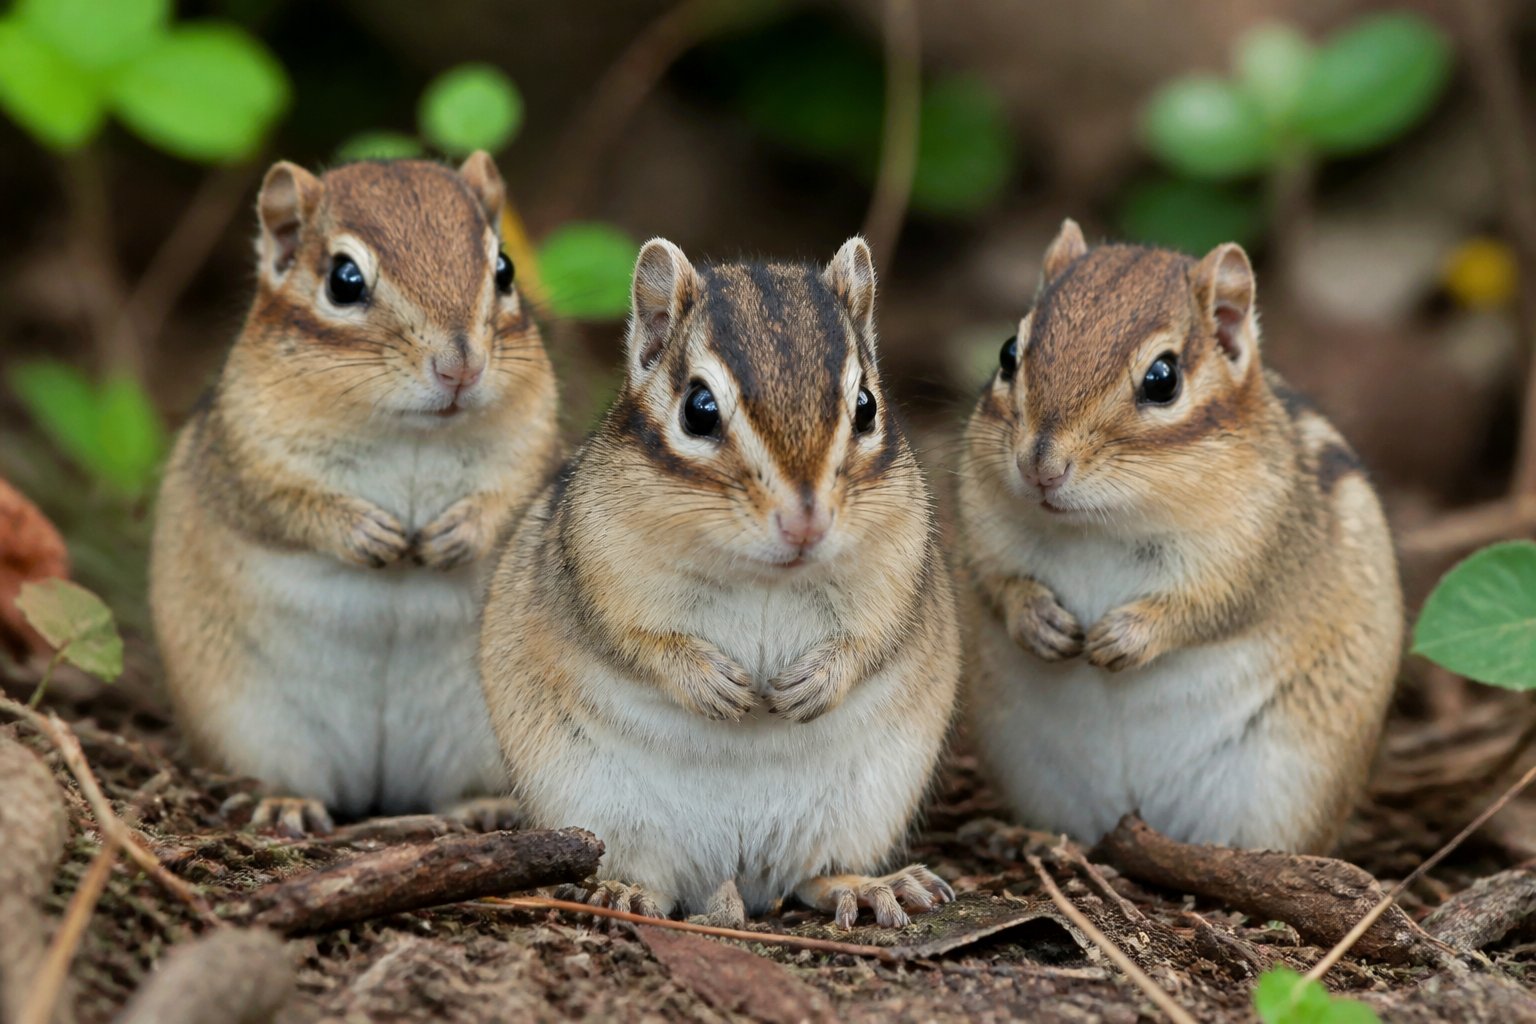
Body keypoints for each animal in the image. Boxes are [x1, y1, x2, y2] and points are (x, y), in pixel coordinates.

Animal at [149, 153, 560, 835]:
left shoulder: (535, 450)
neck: (413, 433)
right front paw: (367, 533)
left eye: (504, 269)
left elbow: (511, 500)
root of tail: (376, 784)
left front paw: (457, 535)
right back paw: (283, 802)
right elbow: (285, 505)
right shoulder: (244, 459)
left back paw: (484, 807)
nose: (461, 367)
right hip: (256, 725)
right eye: (343, 281)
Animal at [479, 237, 959, 927]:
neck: (764, 573)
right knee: (654, 880)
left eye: (866, 407)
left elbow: (874, 638)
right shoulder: (598, 567)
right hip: (601, 809)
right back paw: (623, 893)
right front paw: (711, 683)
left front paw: (814, 683)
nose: (805, 521)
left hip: (864, 807)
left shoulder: (898, 566)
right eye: (698, 410)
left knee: (813, 875)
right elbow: (633, 639)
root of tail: (736, 875)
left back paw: (873, 887)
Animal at [956, 220, 1402, 854]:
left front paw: (1122, 637)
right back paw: (1028, 838)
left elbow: (1208, 607)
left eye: (1162, 379)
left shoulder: (1256, 554)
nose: (1040, 465)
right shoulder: (982, 527)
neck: (1097, 526)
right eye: (1007, 354)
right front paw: (1037, 621)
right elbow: (997, 582)